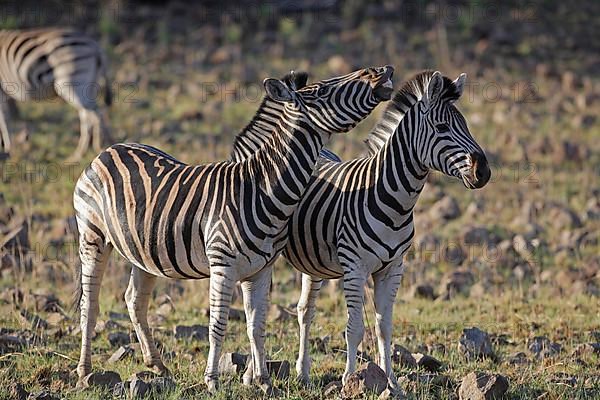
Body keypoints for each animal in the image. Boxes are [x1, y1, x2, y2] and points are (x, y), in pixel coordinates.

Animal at [0, 27, 112, 162]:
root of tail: (95, 45)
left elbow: (4, 121)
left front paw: (9, 150)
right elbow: (6, 119)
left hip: (72, 84)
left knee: (96, 115)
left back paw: (98, 147)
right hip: (89, 86)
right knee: (88, 115)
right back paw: (81, 153)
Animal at [72, 65, 394, 394]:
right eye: (321, 91)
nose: (380, 70)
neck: (261, 188)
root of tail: (110, 149)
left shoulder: (262, 269)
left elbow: (257, 325)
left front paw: (263, 381)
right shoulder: (222, 267)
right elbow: (218, 325)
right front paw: (213, 381)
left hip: (144, 251)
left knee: (135, 301)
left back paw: (157, 365)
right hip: (92, 237)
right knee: (89, 305)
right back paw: (85, 372)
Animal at [230, 70, 488, 392]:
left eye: (465, 125)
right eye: (442, 127)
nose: (484, 171)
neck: (392, 198)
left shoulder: (393, 268)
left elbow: (384, 327)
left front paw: (393, 383)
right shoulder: (355, 268)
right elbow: (354, 328)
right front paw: (350, 380)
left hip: (311, 261)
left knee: (304, 311)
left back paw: (302, 373)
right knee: (254, 312)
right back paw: (251, 374)